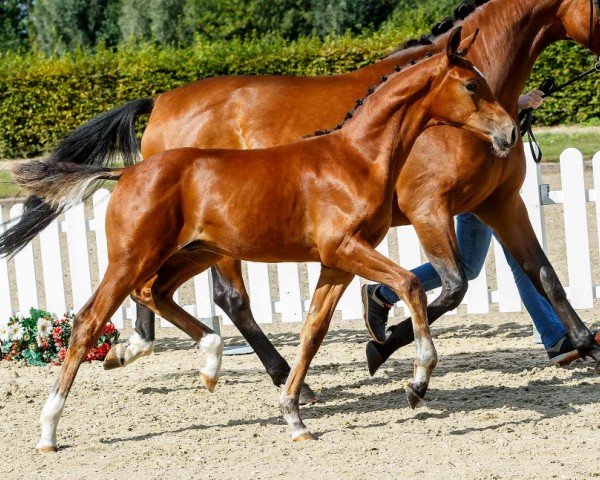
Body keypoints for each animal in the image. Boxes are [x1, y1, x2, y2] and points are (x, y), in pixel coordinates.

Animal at [11, 29, 512, 450]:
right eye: (472, 86)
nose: (508, 132)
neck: (356, 158)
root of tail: (127, 171)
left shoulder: (336, 263)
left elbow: (313, 331)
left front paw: (294, 415)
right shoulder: (346, 248)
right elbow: (410, 283)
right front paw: (417, 382)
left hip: (195, 253)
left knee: (155, 292)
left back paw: (210, 362)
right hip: (132, 257)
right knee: (89, 321)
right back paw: (48, 429)